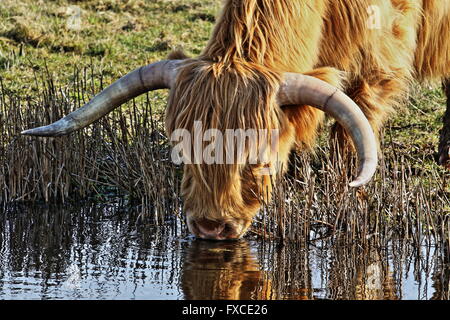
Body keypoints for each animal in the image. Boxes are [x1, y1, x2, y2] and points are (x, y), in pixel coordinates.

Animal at [22, 0, 450, 240]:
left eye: (257, 160)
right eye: (181, 155)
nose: (212, 229)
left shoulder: (380, 55)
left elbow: (354, 127)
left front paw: (348, 194)